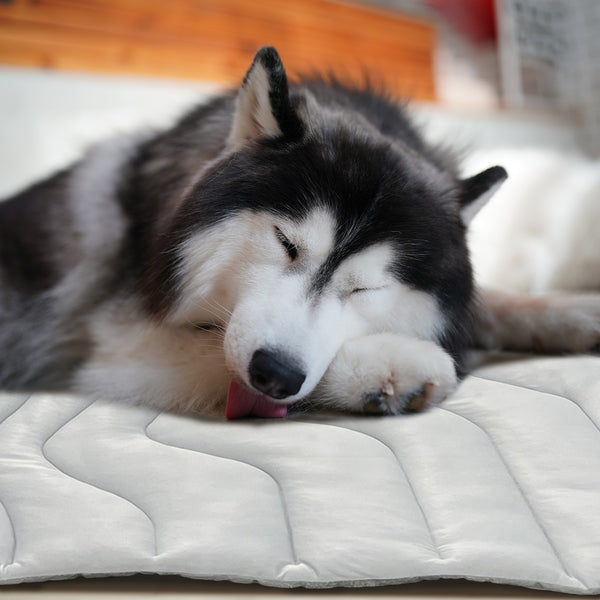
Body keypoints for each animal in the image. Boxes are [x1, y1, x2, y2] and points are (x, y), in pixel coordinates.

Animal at [1, 48, 600, 418]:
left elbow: (491, 301)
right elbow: (221, 356)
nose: (275, 374)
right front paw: (389, 364)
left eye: (365, 287)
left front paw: (570, 312)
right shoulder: (119, 344)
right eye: (285, 244)